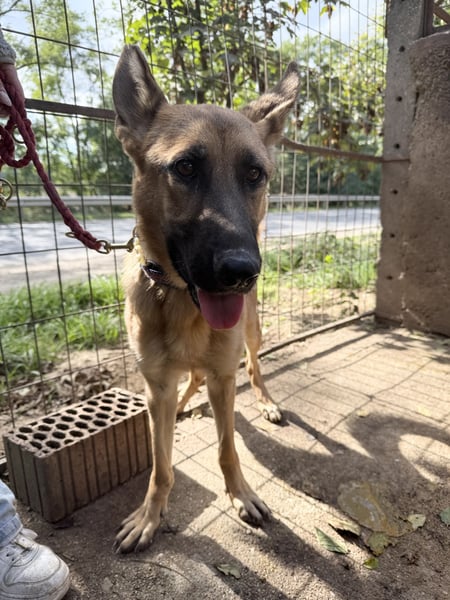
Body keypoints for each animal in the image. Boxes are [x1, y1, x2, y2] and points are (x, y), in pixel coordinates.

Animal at [112, 45, 300, 552]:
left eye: (254, 173)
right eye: (185, 168)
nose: (241, 272)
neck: (181, 302)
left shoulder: (223, 377)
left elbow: (227, 448)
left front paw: (241, 495)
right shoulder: (156, 382)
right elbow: (161, 465)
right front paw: (150, 515)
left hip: (251, 333)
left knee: (253, 368)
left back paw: (266, 401)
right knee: (187, 382)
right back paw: (180, 405)